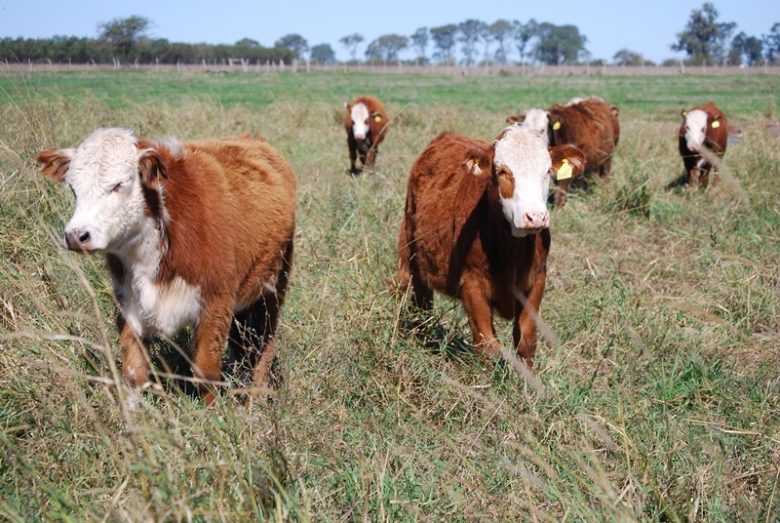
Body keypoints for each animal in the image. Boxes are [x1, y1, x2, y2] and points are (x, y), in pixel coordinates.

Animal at [37, 128, 296, 405]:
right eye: (73, 189)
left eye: (119, 185)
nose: (76, 235)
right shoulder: (129, 302)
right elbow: (134, 372)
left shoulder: (216, 300)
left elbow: (206, 371)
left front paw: (215, 412)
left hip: (274, 286)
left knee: (265, 343)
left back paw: (258, 396)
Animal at [396, 126, 586, 367]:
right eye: (502, 171)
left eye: (548, 171)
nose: (535, 217)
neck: (511, 250)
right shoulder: (471, 282)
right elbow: (488, 345)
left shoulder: (537, 280)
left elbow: (526, 340)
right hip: (413, 256)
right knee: (420, 302)